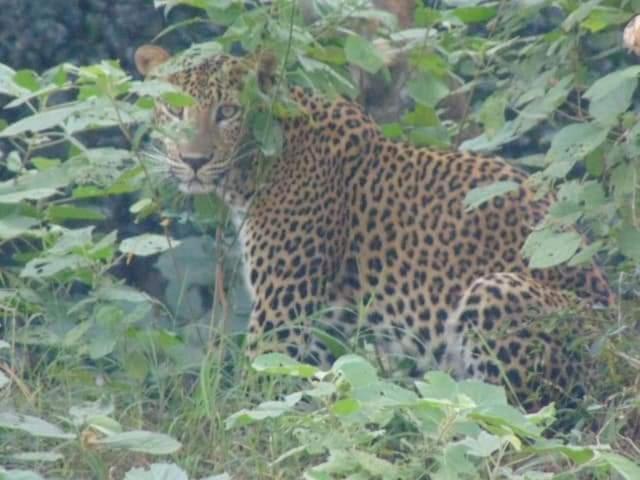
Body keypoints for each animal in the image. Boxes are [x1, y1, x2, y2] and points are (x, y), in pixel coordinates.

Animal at [134, 45, 616, 408]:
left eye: (228, 111)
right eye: (172, 111)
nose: (194, 161)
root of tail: (615, 345)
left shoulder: (283, 316)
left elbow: (256, 398)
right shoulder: (325, 328)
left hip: (497, 293)